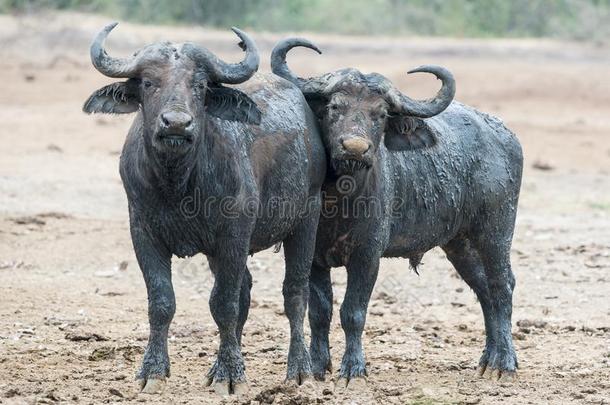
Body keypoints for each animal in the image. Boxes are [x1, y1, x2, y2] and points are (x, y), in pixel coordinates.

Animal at [84, 23, 328, 392]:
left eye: (199, 85)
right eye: (148, 82)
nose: (176, 124)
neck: (178, 183)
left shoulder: (233, 237)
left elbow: (224, 304)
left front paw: (230, 375)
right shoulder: (143, 232)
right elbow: (162, 302)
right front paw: (153, 371)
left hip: (305, 220)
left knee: (295, 293)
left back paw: (299, 369)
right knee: (247, 290)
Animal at [272, 39, 524, 386]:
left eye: (380, 114)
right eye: (335, 107)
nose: (354, 148)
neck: (339, 200)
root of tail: (506, 136)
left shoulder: (367, 254)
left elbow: (353, 312)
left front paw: (353, 370)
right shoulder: (313, 255)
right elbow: (320, 311)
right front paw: (320, 366)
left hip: (496, 232)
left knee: (502, 286)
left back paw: (505, 363)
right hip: (460, 244)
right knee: (484, 289)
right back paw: (488, 359)